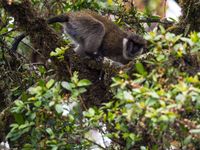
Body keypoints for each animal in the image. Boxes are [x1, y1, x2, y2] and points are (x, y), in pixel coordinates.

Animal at [10, 9, 146, 63]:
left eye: (138, 46)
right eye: (133, 44)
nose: (134, 49)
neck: (124, 45)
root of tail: (71, 15)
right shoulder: (114, 43)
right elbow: (104, 44)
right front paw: (97, 55)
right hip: (82, 22)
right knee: (98, 27)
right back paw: (91, 54)